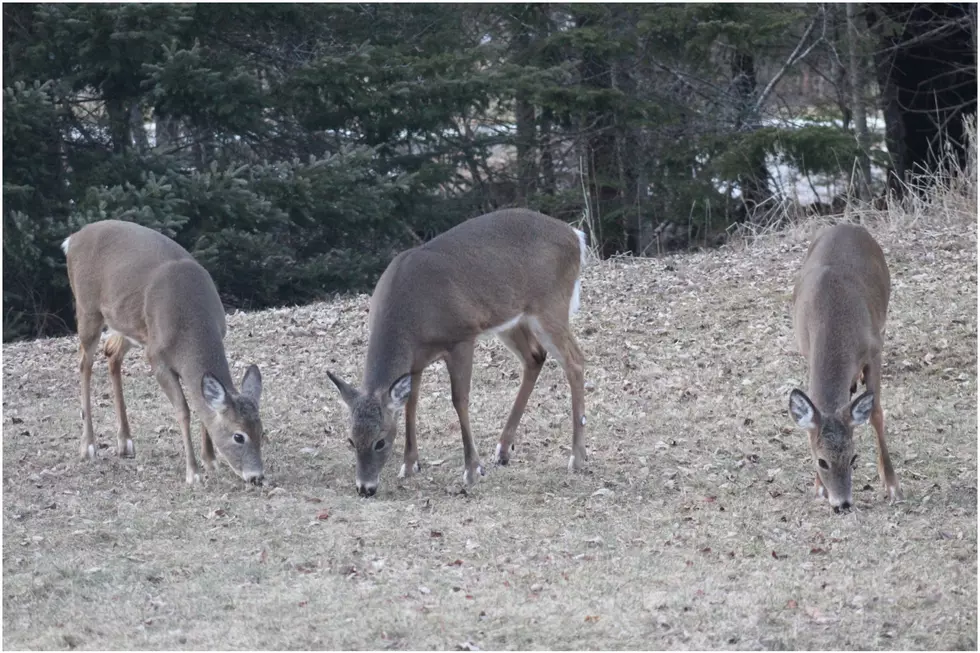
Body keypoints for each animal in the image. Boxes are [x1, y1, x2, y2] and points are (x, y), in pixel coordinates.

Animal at [63, 219, 266, 484]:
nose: (257, 477)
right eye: (238, 436)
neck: (191, 324)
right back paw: (88, 446)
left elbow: (201, 402)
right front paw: (193, 473)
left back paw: (125, 442)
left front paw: (210, 461)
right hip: (88, 309)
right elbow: (183, 410)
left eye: (261, 431)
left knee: (112, 354)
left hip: (130, 325)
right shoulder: (156, 357)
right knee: (84, 363)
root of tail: (72, 239)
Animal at [330, 208, 588, 494]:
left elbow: (459, 399)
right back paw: (503, 450)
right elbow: (411, 403)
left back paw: (577, 458)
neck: (411, 313)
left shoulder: (462, 338)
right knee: (535, 357)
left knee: (575, 361)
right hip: (510, 319)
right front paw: (409, 465)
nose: (365, 488)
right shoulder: (416, 360)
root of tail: (576, 235)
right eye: (351, 440)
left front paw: (472, 470)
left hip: (550, 305)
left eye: (380, 441)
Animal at [788, 223, 904, 510]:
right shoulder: (806, 351)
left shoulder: (874, 350)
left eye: (853, 458)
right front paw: (818, 488)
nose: (842, 504)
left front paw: (892, 486)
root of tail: (846, 224)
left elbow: (876, 413)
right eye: (821, 461)